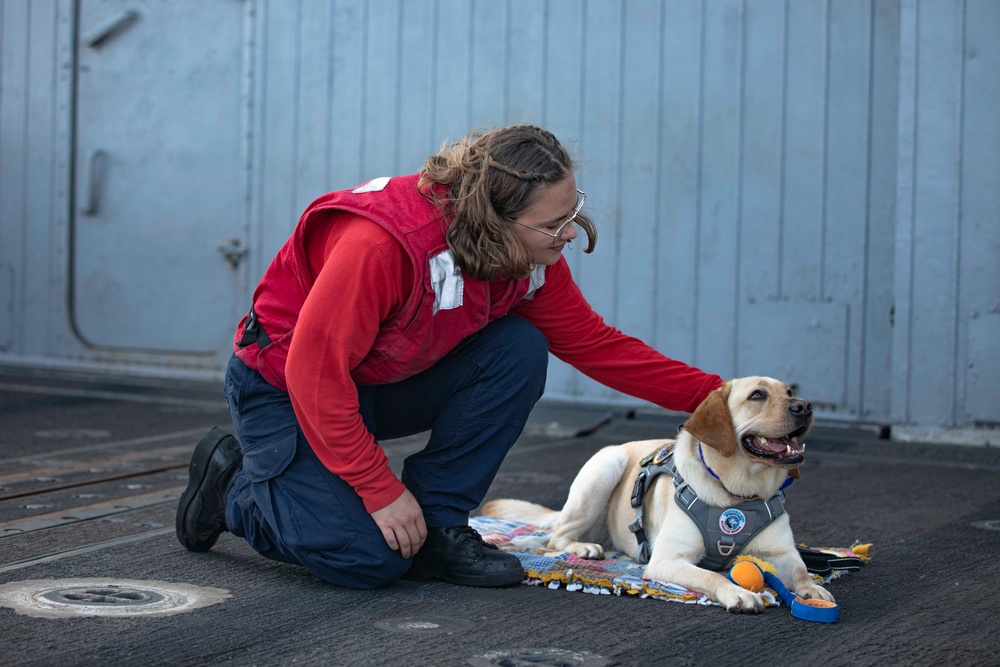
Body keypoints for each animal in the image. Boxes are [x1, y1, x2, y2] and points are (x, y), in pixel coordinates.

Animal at [484, 378, 836, 612]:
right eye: (757, 395)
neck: (739, 494)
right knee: (556, 536)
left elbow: (802, 570)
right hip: (605, 466)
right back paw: (583, 547)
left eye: (789, 392)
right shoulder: (667, 560)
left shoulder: (782, 553)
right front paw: (737, 593)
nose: (805, 406)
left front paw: (812, 589)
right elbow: (711, 576)